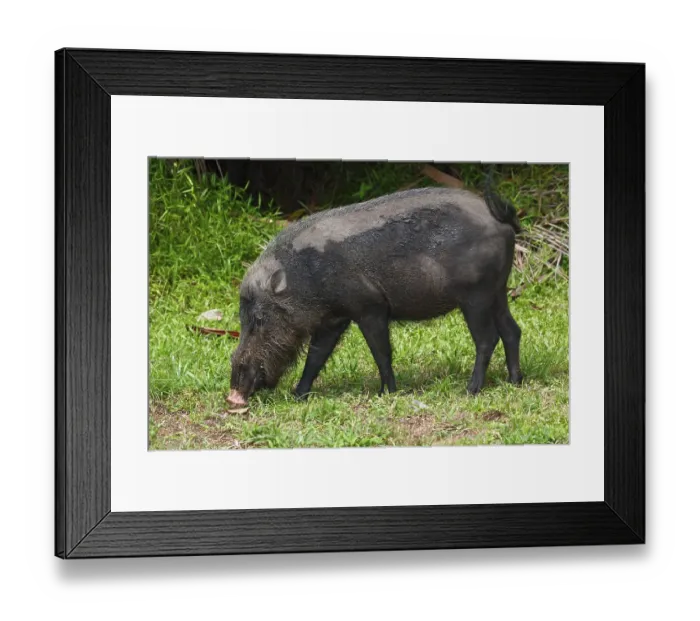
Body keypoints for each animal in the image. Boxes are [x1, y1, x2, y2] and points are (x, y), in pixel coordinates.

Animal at [227, 186, 523, 407]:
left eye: (259, 319)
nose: (233, 396)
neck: (305, 277)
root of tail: (500, 218)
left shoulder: (370, 307)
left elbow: (381, 352)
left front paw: (386, 392)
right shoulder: (334, 319)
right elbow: (316, 355)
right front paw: (298, 395)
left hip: (476, 295)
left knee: (487, 338)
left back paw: (470, 390)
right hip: (498, 290)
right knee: (512, 330)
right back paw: (515, 381)